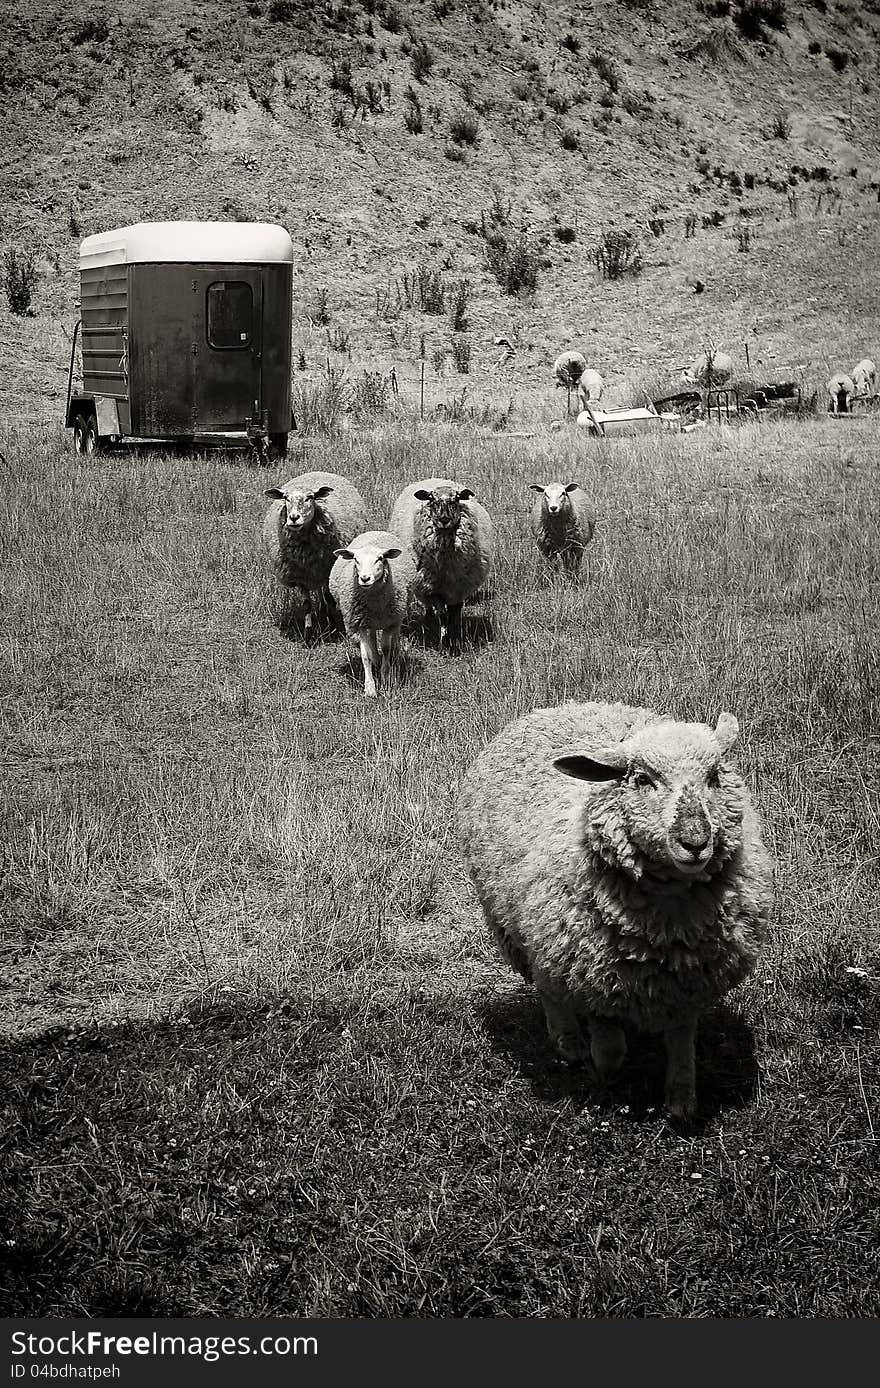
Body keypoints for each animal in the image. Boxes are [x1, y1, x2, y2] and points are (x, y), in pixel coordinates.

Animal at [262, 469, 369, 635]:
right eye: (285, 498)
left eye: (310, 497)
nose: (294, 518)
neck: (305, 554)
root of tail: (319, 471)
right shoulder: (300, 576)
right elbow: (306, 604)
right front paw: (308, 632)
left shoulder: (327, 570)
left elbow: (329, 597)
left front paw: (333, 628)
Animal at [326, 532, 413, 705]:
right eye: (356, 559)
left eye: (380, 558)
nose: (365, 578)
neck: (375, 604)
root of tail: (375, 532)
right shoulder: (360, 623)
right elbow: (365, 657)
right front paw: (370, 688)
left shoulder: (389, 622)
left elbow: (385, 649)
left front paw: (386, 678)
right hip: (368, 622)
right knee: (372, 638)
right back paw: (376, 659)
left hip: (398, 616)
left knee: (395, 635)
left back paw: (395, 652)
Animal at [385, 477, 491, 644]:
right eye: (432, 499)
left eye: (456, 499)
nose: (444, 519)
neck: (447, 567)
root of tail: (433, 478)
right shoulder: (432, 588)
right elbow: (442, 614)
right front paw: (444, 638)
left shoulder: (459, 588)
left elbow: (455, 614)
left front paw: (455, 636)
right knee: (428, 606)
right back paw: (429, 622)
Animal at [455, 699, 771, 1121]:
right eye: (642, 779)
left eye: (714, 776)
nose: (695, 842)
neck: (668, 925)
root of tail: (559, 707)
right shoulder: (590, 972)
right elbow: (609, 1046)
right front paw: (605, 1075)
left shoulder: (690, 981)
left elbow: (681, 1039)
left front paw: (681, 1100)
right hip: (527, 930)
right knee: (547, 986)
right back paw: (569, 1042)